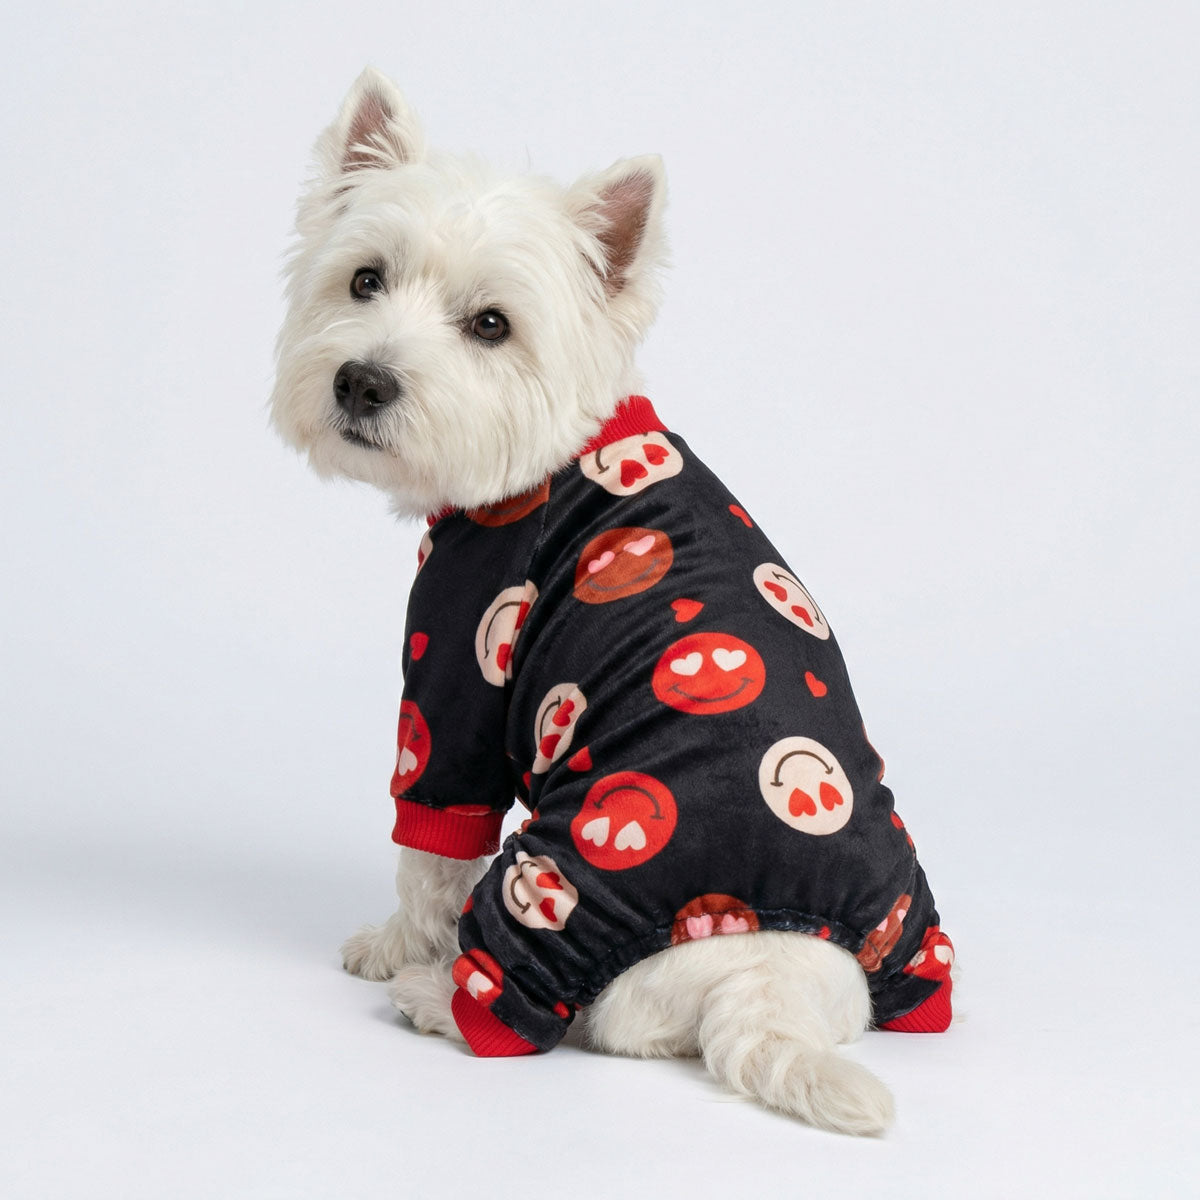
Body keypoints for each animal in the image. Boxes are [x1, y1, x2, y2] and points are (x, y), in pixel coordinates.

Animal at [270, 68, 954, 1136]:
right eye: (365, 279)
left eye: (492, 325)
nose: (361, 382)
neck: (554, 451)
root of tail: (765, 971)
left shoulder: (455, 674)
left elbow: (430, 851)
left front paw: (391, 948)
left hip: (556, 877)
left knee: (535, 1015)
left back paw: (433, 997)